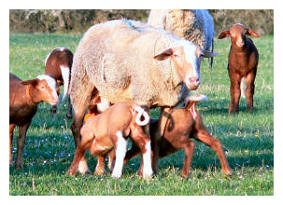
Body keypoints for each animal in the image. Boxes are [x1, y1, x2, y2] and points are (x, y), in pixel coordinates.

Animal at [69, 18, 217, 174]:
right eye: (176, 55)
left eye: (200, 56)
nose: (194, 80)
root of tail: (101, 24)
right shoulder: (143, 101)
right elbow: (146, 137)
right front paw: (145, 171)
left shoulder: (168, 104)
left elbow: (157, 137)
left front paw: (154, 168)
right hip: (81, 84)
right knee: (76, 127)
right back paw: (83, 167)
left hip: (110, 95)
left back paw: (105, 166)